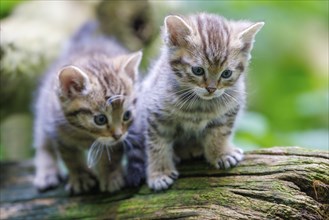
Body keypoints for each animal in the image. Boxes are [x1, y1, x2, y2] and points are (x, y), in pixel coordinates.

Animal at [32, 22, 142, 194]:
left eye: (127, 115)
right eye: (100, 119)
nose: (118, 135)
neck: (85, 135)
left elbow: (112, 154)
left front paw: (110, 175)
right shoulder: (59, 133)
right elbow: (71, 158)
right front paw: (80, 177)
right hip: (44, 109)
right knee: (42, 140)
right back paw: (46, 172)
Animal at [128, 13, 264, 191]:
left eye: (226, 73)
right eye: (198, 70)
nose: (211, 89)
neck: (199, 105)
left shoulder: (228, 111)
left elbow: (220, 133)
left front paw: (221, 153)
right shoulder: (156, 114)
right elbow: (157, 145)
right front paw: (159, 173)